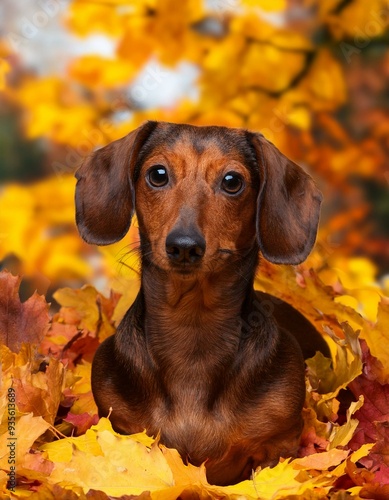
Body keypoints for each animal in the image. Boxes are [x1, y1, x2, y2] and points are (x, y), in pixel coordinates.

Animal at [75, 121, 328, 484]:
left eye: (232, 181)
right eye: (158, 174)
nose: (184, 246)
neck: (192, 324)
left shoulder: (277, 445)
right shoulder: (121, 426)